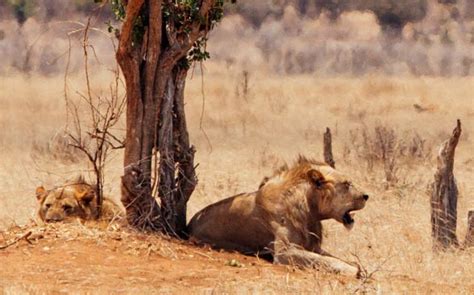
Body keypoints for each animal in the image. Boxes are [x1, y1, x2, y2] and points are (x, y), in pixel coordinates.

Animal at [189, 157, 370, 278]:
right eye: (347, 184)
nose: (366, 196)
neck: (310, 211)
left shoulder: (312, 246)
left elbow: (328, 257)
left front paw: (357, 265)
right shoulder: (284, 252)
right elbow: (322, 260)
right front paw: (354, 270)